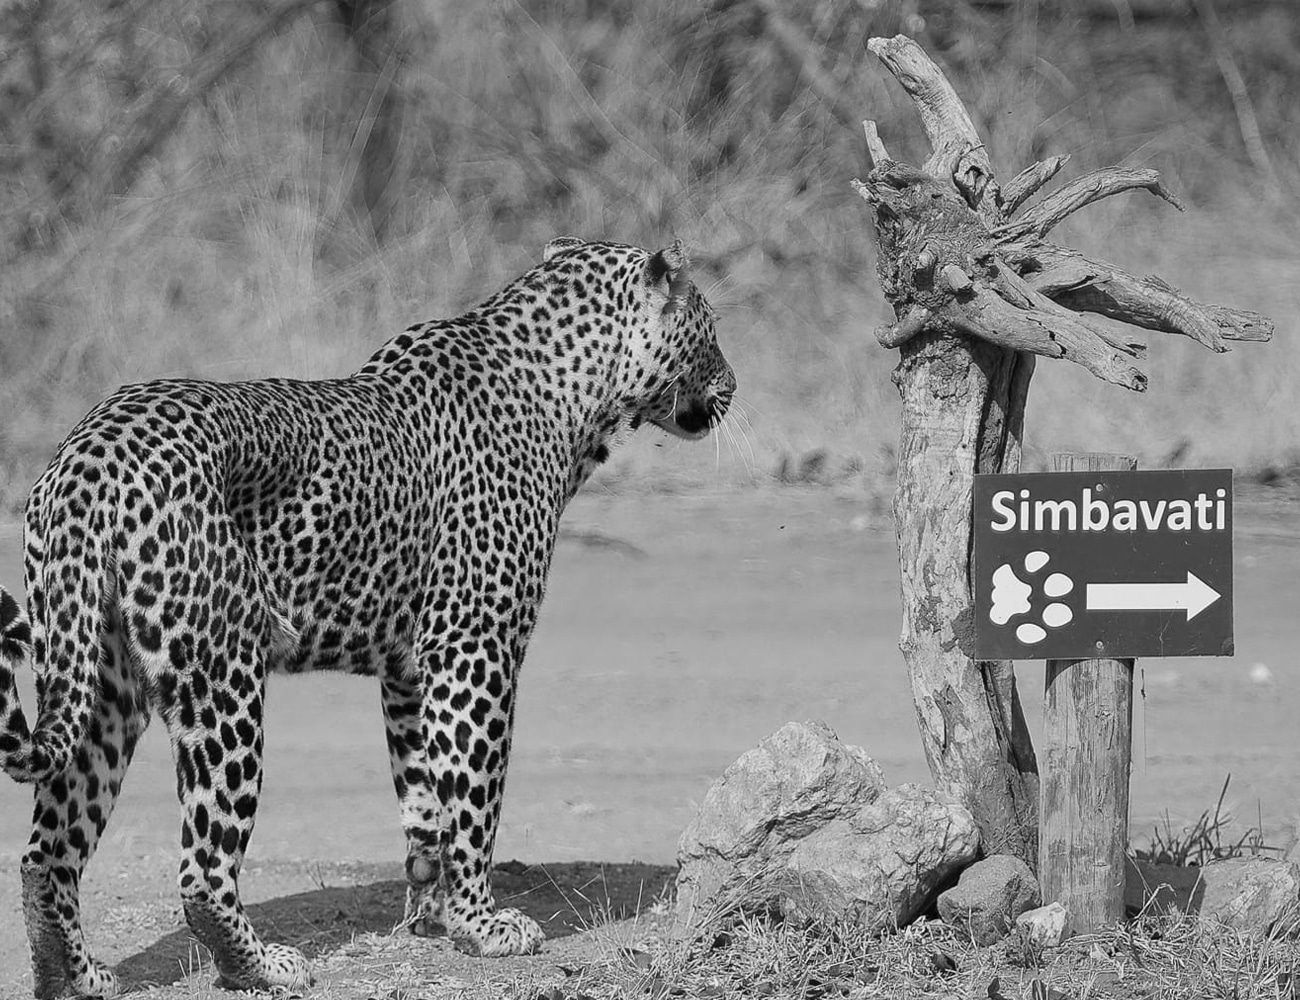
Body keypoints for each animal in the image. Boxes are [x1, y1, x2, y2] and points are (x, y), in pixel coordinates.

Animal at [0, 237, 733, 993]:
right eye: (710, 330)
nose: (733, 387)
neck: (573, 396)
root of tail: (90, 455)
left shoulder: (409, 670)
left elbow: (425, 798)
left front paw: (435, 915)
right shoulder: (474, 650)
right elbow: (476, 796)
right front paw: (482, 924)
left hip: (99, 682)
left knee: (45, 855)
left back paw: (74, 977)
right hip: (222, 679)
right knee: (203, 866)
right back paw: (263, 967)